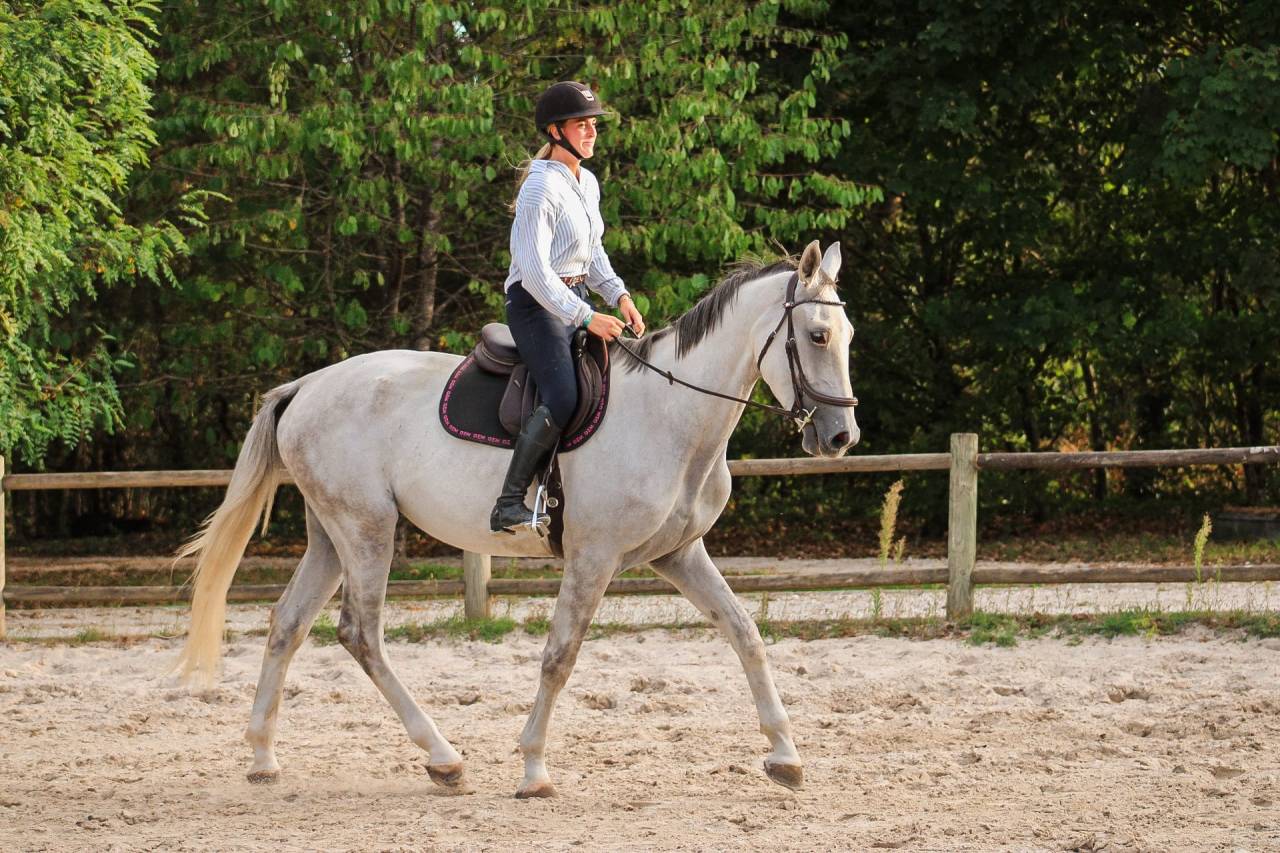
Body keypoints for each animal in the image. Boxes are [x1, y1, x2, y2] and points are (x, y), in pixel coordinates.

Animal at [177, 239, 860, 797]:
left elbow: (745, 633)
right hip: (367, 531)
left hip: (330, 535)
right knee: (360, 634)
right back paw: (444, 759)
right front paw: (534, 769)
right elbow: (560, 655)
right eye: (817, 336)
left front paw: (785, 755)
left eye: (847, 335)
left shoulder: (678, 554)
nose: (840, 436)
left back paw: (264, 759)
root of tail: (307, 386)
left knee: (287, 624)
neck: (670, 414)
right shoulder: (593, 557)